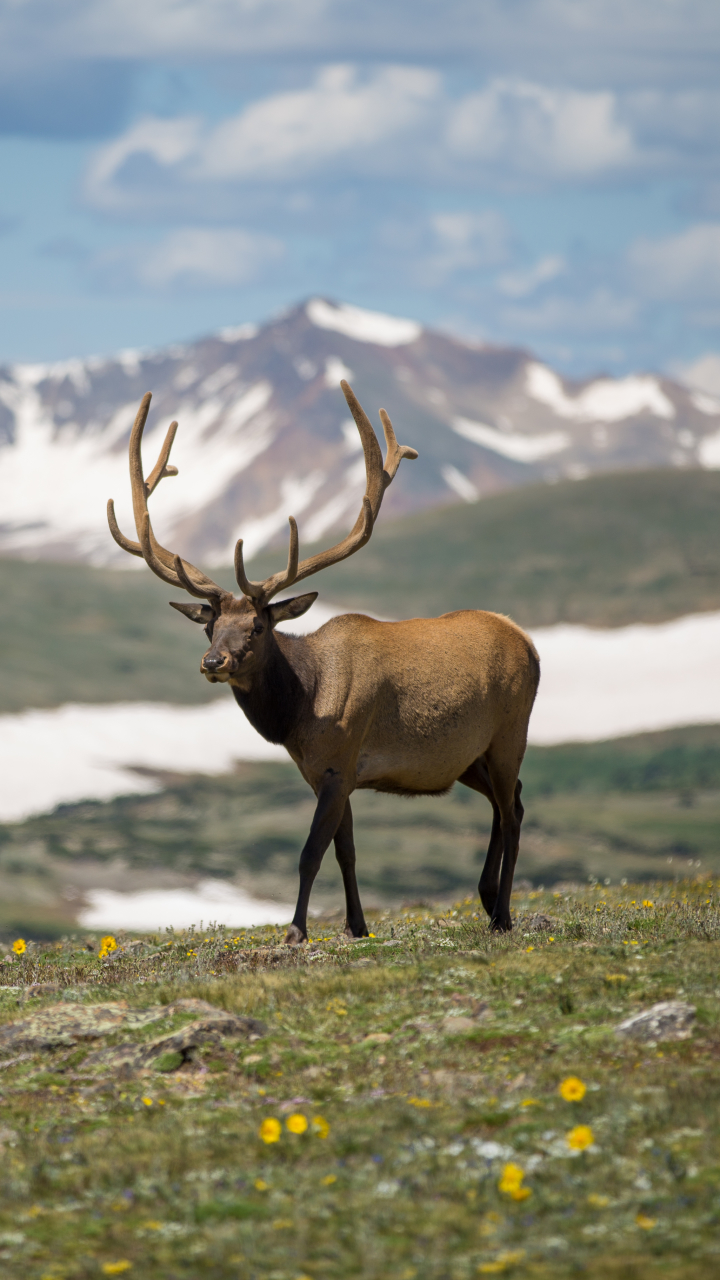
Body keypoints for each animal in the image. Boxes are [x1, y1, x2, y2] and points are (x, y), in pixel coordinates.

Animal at [107, 381, 538, 942]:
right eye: (208, 625)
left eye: (259, 626)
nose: (213, 660)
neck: (301, 712)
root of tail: (528, 642)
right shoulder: (327, 772)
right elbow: (346, 852)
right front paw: (357, 926)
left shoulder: (339, 760)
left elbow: (310, 853)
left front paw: (296, 931)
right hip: (468, 757)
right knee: (512, 802)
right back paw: (486, 899)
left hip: (510, 732)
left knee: (512, 812)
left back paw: (503, 914)